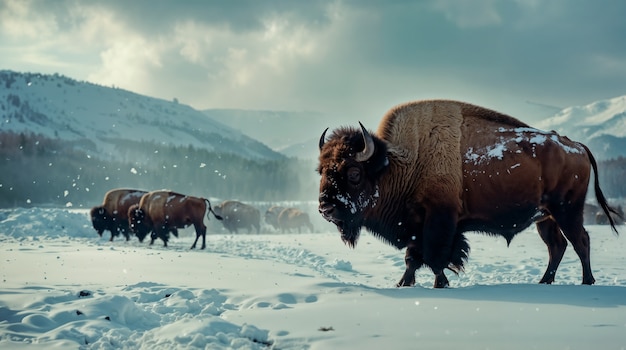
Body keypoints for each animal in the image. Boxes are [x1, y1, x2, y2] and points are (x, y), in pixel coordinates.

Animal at [316, 100, 620, 288]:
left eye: (354, 172)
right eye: (321, 170)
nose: (324, 209)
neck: (399, 165)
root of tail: (577, 146)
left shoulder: (439, 221)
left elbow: (435, 257)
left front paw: (439, 284)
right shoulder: (417, 225)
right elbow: (413, 258)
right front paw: (403, 283)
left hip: (567, 211)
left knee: (581, 241)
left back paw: (587, 282)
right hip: (545, 218)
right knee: (557, 246)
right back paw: (544, 282)